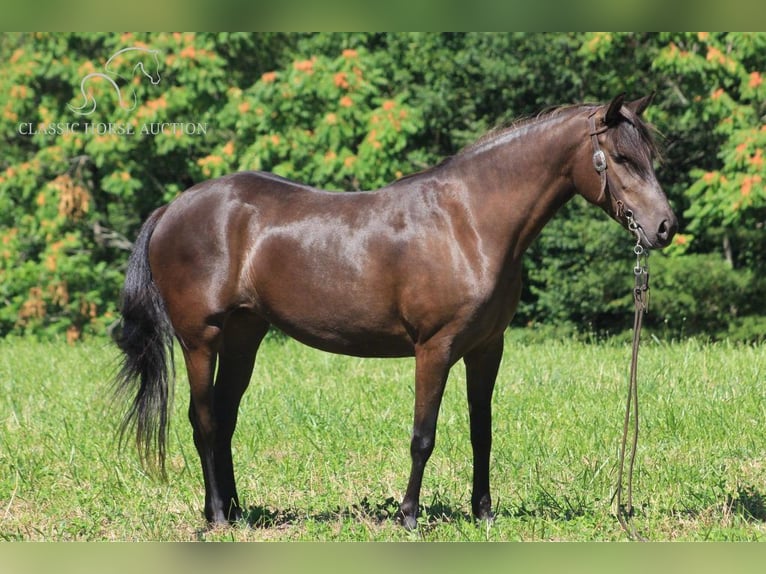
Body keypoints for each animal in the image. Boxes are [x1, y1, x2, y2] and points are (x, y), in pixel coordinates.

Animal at [114, 94, 680, 532]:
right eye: (621, 157)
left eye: (650, 156)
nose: (665, 227)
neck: (469, 221)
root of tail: (172, 208)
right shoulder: (434, 348)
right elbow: (422, 436)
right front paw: (409, 516)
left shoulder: (486, 348)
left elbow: (482, 430)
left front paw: (484, 513)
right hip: (201, 339)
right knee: (205, 419)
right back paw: (217, 516)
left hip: (243, 336)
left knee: (226, 417)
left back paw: (238, 510)